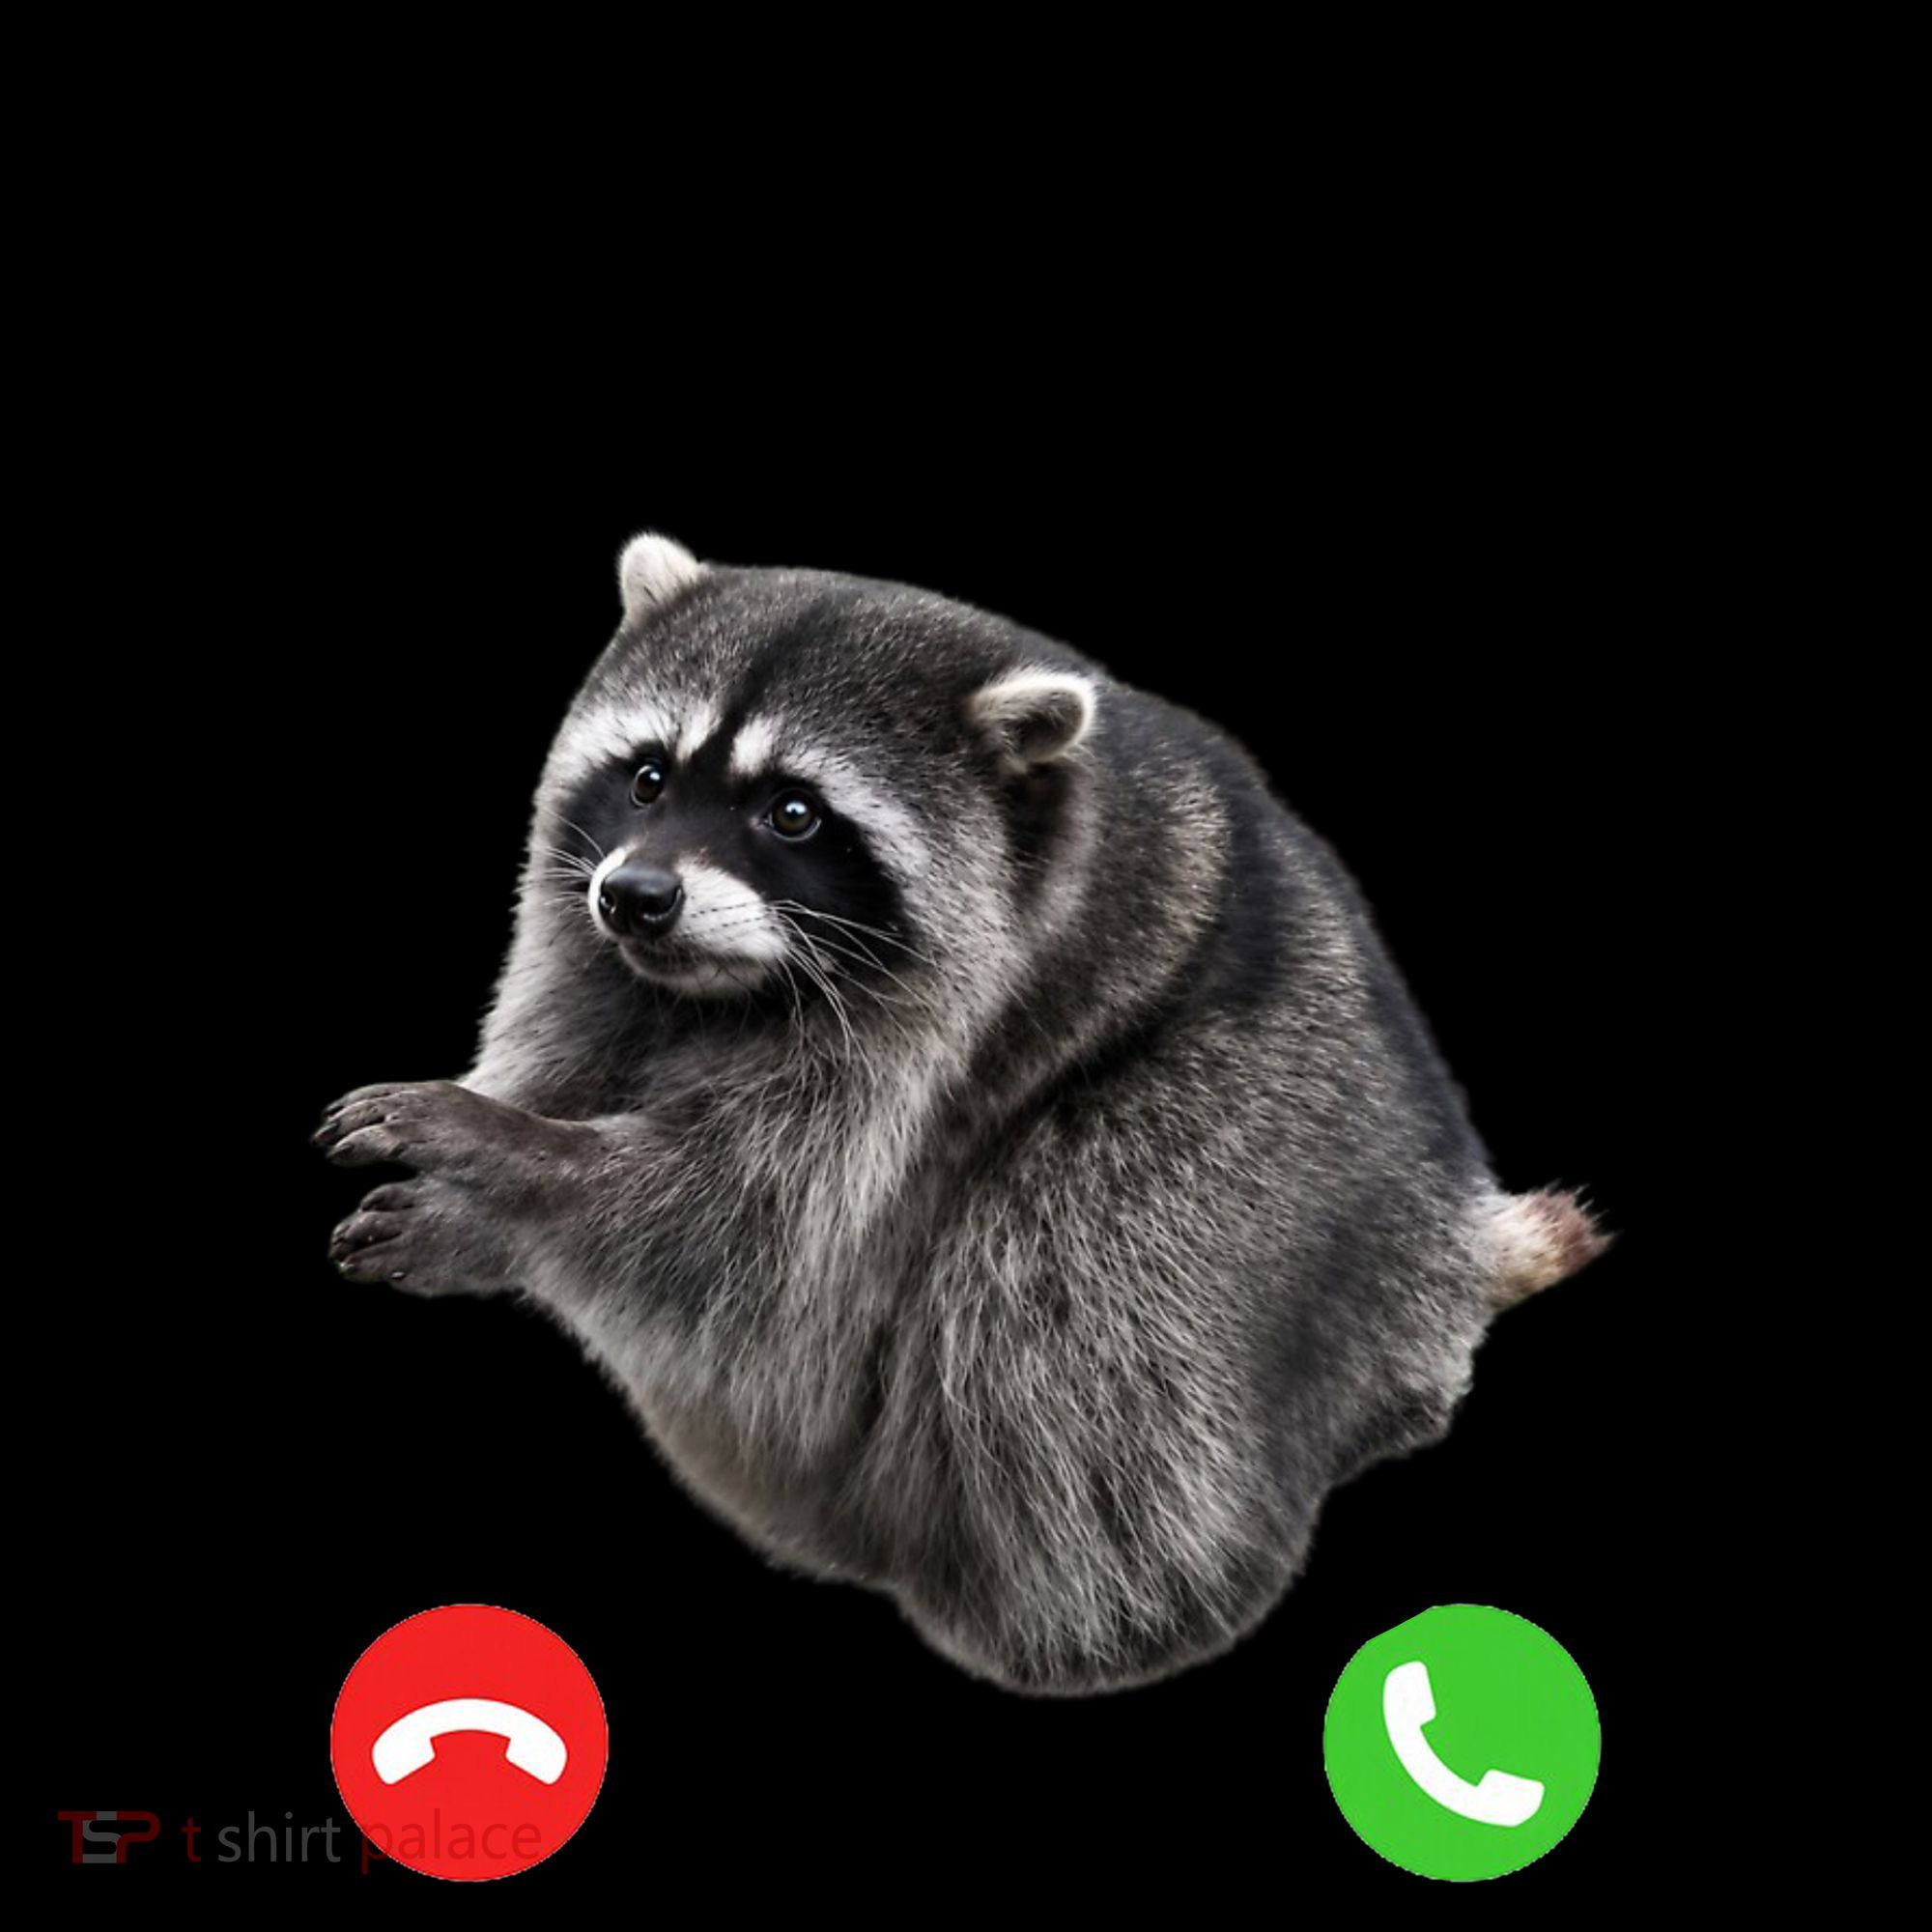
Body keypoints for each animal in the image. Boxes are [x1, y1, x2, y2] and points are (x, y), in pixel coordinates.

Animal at [316, 531, 1609, 1695]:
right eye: (645, 777)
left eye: (792, 813)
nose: (636, 896)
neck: (720, 993)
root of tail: (1439, 1237)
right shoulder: (591, 949)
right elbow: (589, 1080)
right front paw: (489, 1198)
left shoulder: (946, 1030)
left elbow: (743, 1223)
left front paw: (508, 1152)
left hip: (1255, 1139)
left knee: (1065, 1293)